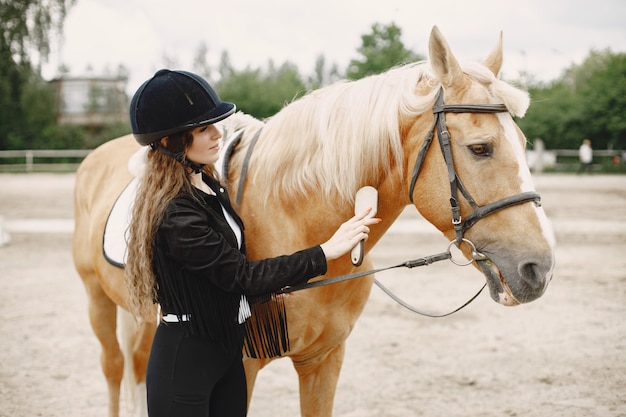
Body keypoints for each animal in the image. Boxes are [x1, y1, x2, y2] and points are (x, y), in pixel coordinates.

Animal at [73, 26, 556, 416]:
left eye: (524, 143)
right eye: (480, 148)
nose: (540, 269)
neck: (292, 218)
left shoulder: (324, 360)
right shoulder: (242, 368)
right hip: (97, 300)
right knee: (114, 369)